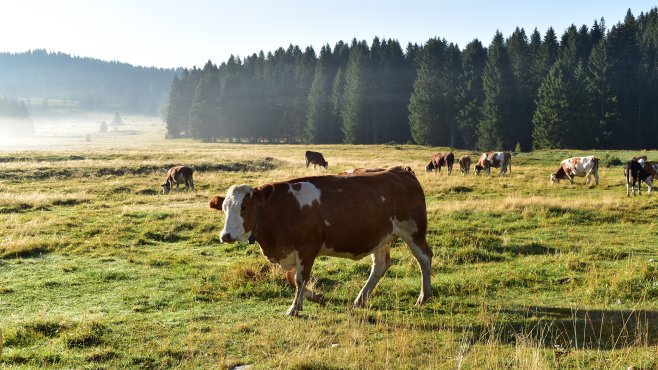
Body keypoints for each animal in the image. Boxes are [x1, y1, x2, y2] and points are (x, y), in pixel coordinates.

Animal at [206, 167, 430, 316]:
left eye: (244, 207)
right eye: (224, 208)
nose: (225, 236)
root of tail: (401, 171)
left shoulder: (307, 247)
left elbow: (299, 279)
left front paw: (294, 309)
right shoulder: (292, 252)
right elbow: (292, 278)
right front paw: (317, 297)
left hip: (414, 232)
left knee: (424, 259)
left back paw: (424, 296)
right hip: (381, 238)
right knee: (380, 265)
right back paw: (360, 299)